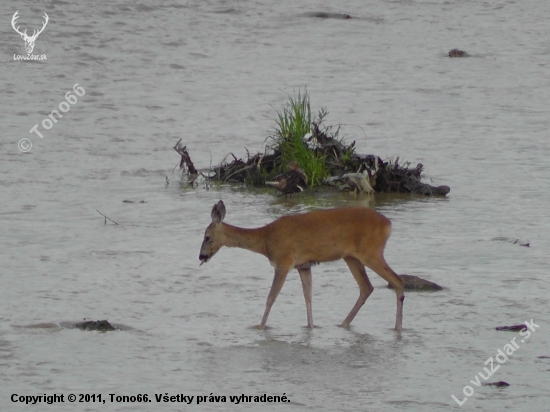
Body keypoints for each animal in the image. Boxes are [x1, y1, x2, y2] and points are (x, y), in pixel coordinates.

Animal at [198, 201, 406, 330]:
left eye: (207, 237)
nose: (201, 256)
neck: (265, 240)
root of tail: (389, 224)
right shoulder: (304, 266)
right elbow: (308, 297)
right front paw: (311, 326)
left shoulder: (284, 261)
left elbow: (271, 298)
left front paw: (260, 326)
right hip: (351, 257)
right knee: (367, 287)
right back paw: (344, 324)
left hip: (371, 252)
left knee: (397, 281)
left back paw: (397, 327)